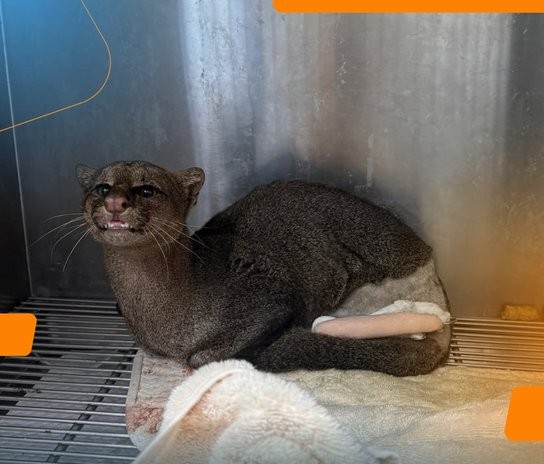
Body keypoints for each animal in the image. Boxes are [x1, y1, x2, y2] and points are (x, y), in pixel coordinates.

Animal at [77, 160, 451, 376]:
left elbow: (202, 357)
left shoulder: (270, 298)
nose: (114, 202)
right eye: (102, 187)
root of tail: (425, 252)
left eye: (147, 190)